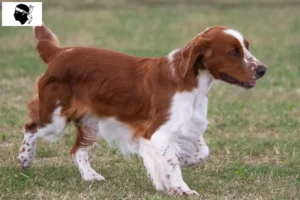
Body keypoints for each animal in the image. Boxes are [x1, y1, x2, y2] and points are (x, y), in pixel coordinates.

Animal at [17, 24, 266, 196]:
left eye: (246, 47)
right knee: (30, 127)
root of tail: (59, 53)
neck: (191, 81)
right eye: (234, 52)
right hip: (55, 118)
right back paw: (24, 159)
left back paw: (90, 176)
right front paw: (182, 189)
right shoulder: (158, 132)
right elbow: (172, 164)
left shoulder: (188, 125)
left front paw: (182, 161)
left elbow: (200, 152)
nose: (262, 69)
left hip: (90, 122)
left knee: (78, 149)